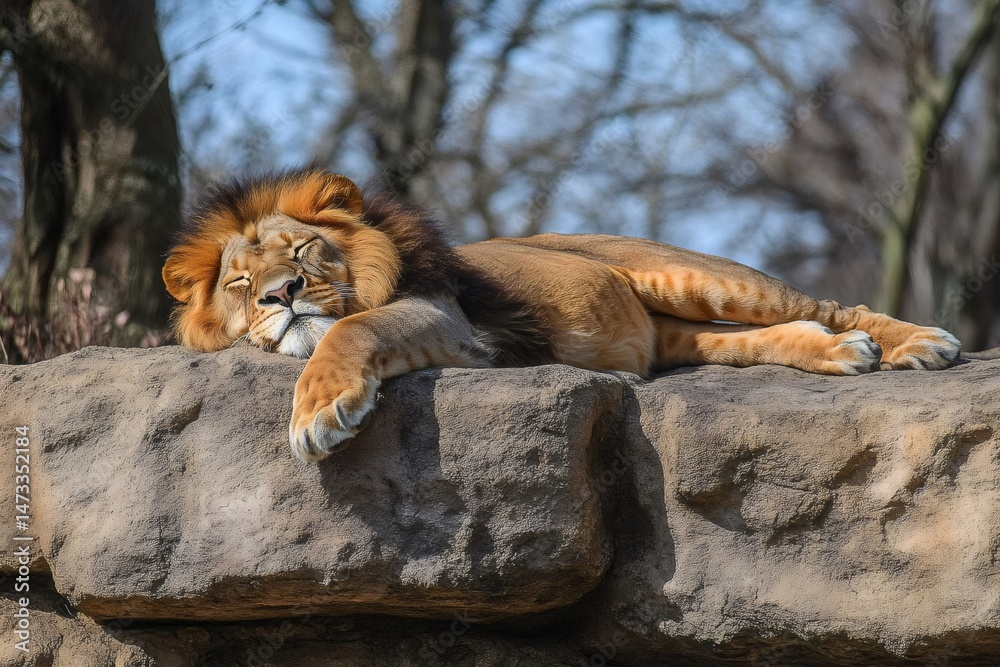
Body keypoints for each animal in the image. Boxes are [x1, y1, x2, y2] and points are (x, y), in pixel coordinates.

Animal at [163, 169, 965, 462]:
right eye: (240, 281)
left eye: (303, 249)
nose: (281, 295)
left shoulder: (449, 320)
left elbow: (353, 327)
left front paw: (317, 415)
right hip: (670, 331)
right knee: (772, 335)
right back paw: (840, 351)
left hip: (701, 277)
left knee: (830, 304)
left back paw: (920, 343)